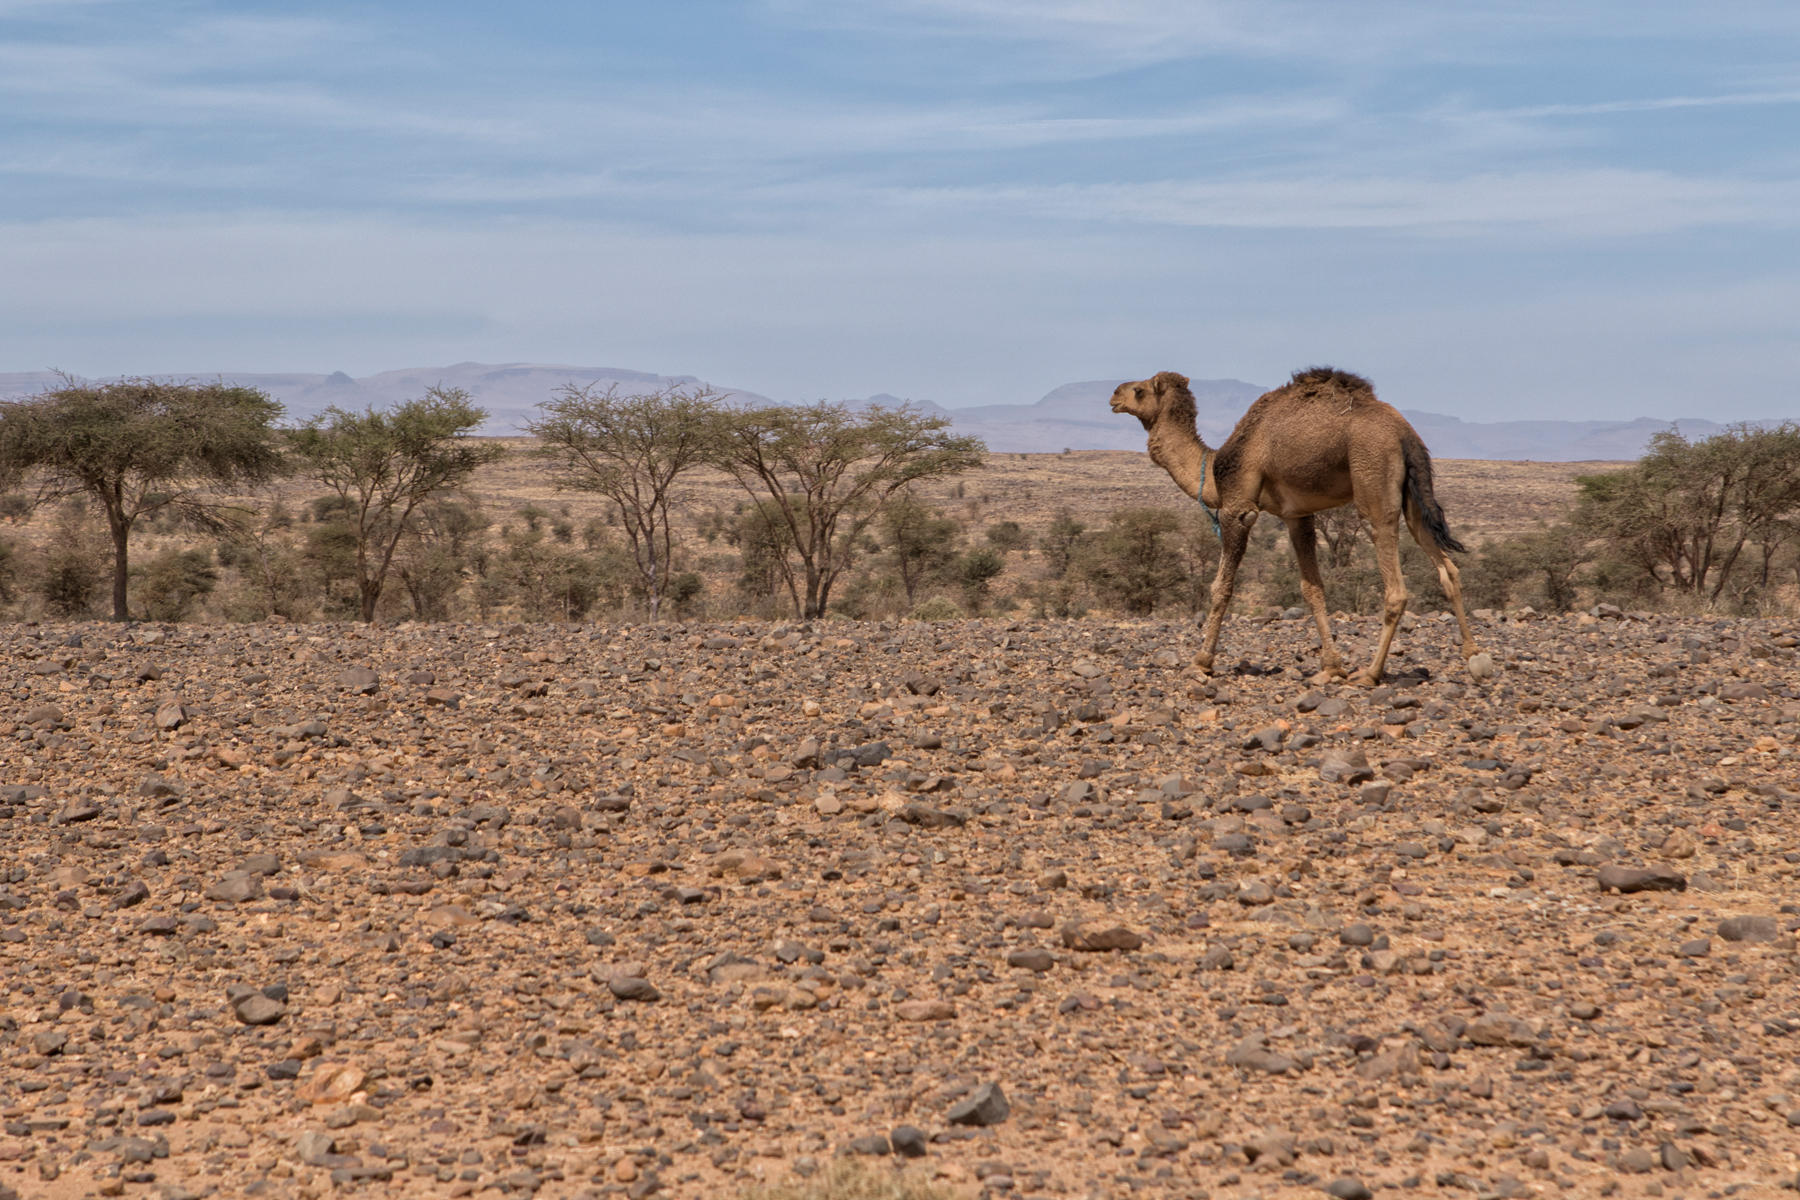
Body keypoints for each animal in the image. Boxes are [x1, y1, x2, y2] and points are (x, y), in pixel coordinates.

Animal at [1108, 367, 1490, 683]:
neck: (1214, 469)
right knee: (1447, 568)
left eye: (1139, 390)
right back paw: (1473, 654)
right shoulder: (1297, 516)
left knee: (1394, 581)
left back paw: (1371, 673)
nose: (1113, 395)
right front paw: (1332, 667)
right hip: (1412, 494)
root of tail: (1405, 433)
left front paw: (1201, 661)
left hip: (1372, 473)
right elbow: (1312, 589)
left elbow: (1221, 587)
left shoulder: (1239, 508)